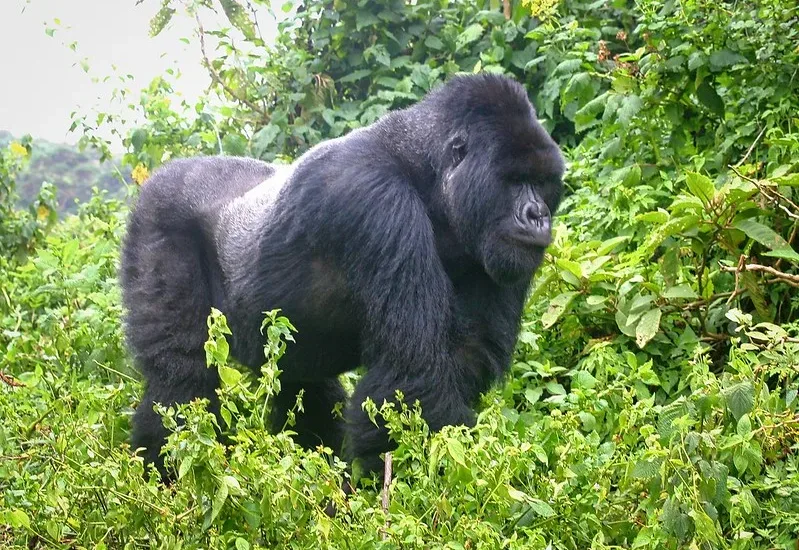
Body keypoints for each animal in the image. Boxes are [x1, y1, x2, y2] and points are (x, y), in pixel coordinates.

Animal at [122, 72, 564, 478]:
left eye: (542, 183)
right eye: (514, 180)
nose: (538, 216)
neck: (425, 173)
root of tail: (160, 175)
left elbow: (462, 359)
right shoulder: (374, 201)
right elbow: (412, 378)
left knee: (304, 386)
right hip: (156, 222)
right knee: (182, 384)